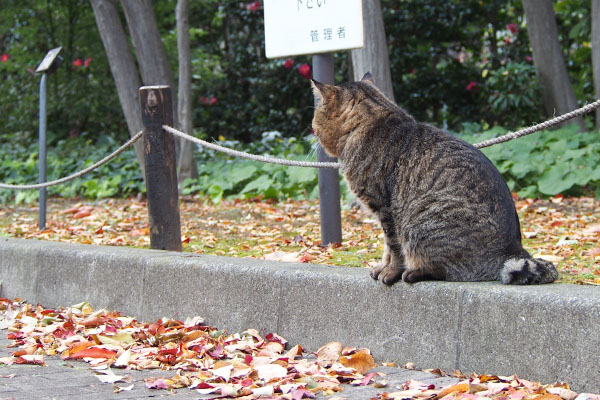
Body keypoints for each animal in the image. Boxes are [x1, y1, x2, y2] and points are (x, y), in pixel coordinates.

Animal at [314, 73, 556, 286]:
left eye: (315, 115)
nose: (312, 130)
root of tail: (512, 251)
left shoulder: (386, 210)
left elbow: (393, 247)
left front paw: (391, 272)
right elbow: (386, 248)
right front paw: (382, 267)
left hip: (419, 220)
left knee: (447, 269)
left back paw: (415, 272)